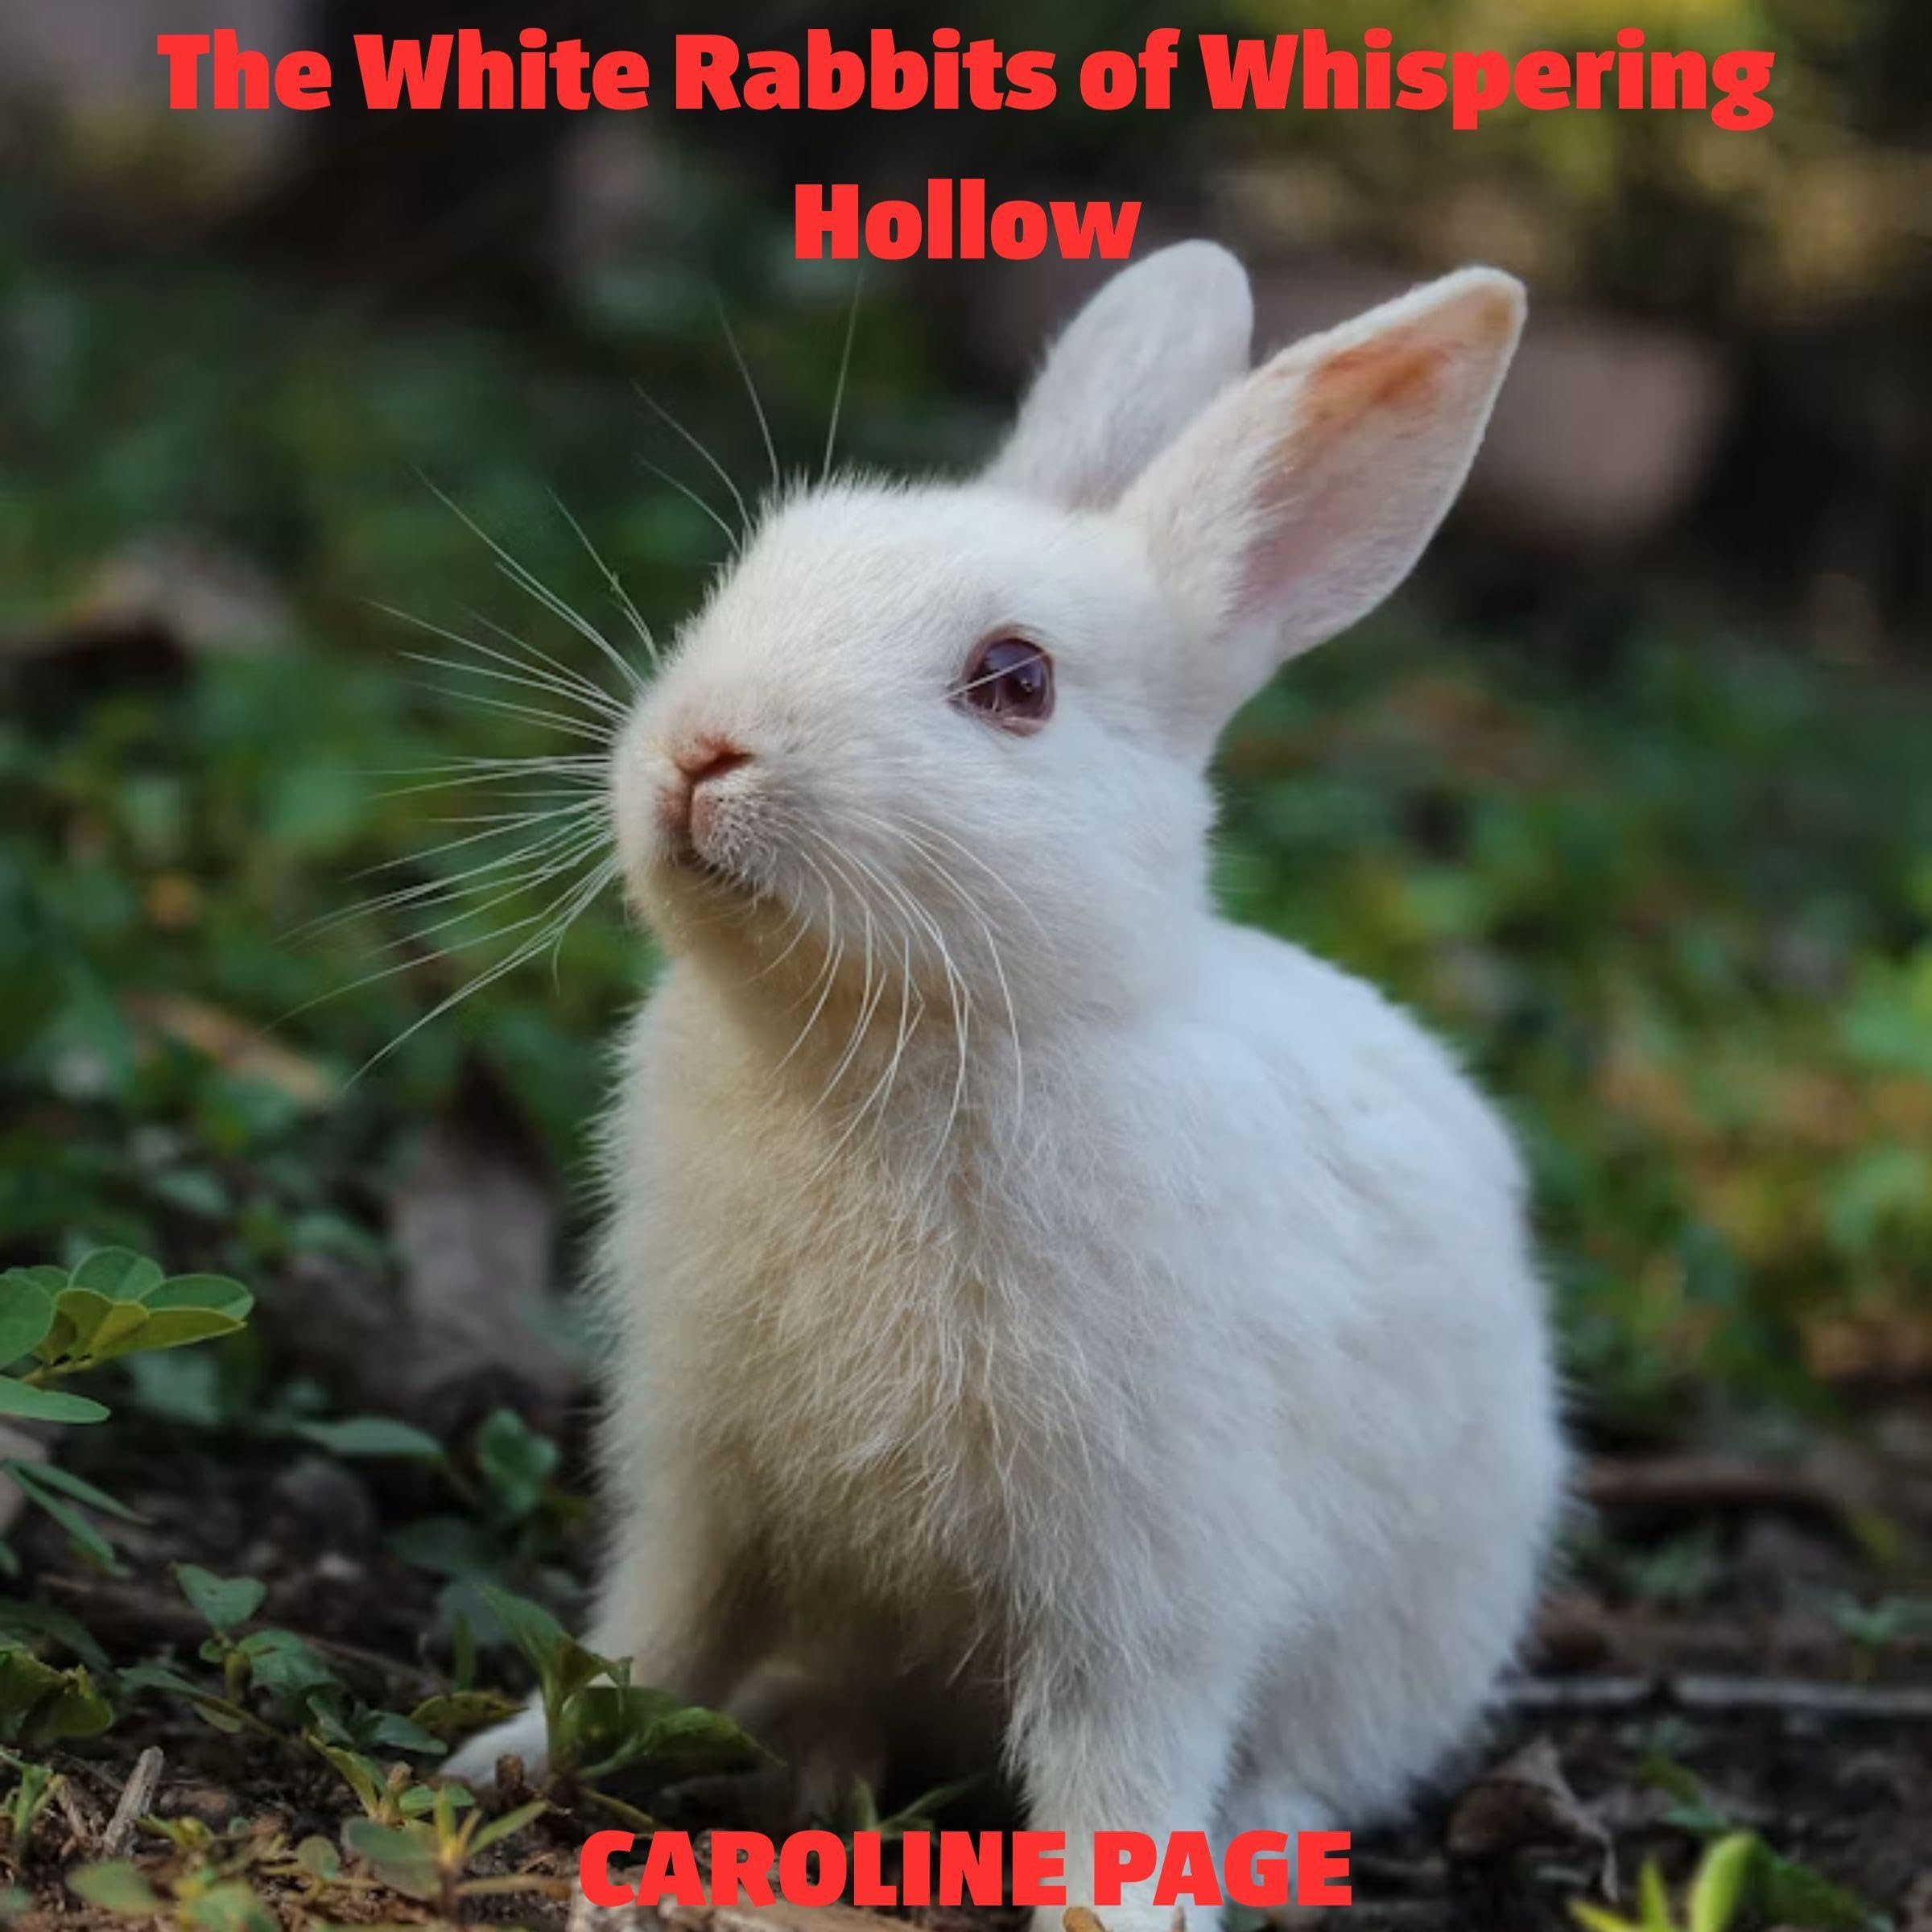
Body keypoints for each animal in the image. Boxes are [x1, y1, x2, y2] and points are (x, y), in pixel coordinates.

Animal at [446, 241, 1566, 1930]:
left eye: (1015, 680)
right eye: (759, 567)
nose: (703, 753)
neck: (895, 1038)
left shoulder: (1149, 1576)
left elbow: (1123, 1765)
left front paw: (1119, 1910)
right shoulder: (704, 1476)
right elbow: (652, 1633)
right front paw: (510, 1756)